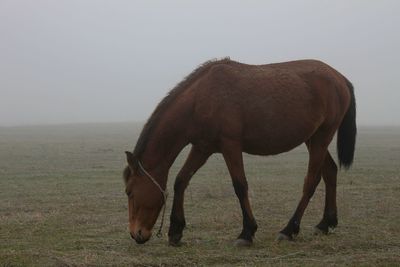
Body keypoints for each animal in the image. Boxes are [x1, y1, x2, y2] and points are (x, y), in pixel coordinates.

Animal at [122, 58, 356, 247]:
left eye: (129, 192)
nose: (136, 234)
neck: (200, 98)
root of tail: (340, 78)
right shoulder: (202, 148)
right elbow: (181, 181)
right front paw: (175, 232)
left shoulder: (230, 146)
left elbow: (240, 186)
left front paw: (247, 233)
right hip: (313, 139)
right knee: (330, 172)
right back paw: (325, 224)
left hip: (321, 137)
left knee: (311, 181)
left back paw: (289, 230)